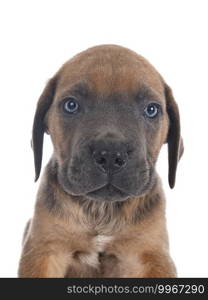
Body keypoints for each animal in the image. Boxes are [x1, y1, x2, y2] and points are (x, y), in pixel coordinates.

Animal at [18, 44, 183, 276]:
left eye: (151, 110)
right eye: (71, 105)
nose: (111, 154)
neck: (101, 210)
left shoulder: (150, 254)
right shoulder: (45, 250)